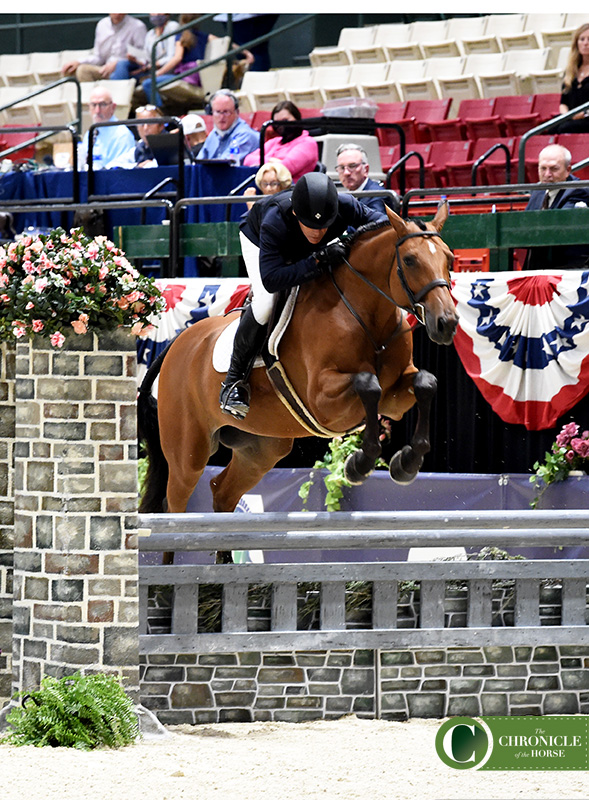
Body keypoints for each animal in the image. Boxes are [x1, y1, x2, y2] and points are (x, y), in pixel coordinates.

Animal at [139, 203, 460, 520]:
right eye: (409, 260)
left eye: (449, 258)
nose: (446, 323)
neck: (364, 315)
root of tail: (175, 346)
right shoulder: (323, 401)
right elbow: (368, 384)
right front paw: (358, 465)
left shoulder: (394, 397)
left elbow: (426, 382)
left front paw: (406, 463)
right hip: (187, 454)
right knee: (174, 503)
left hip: (262, 448)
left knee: (222, 491)